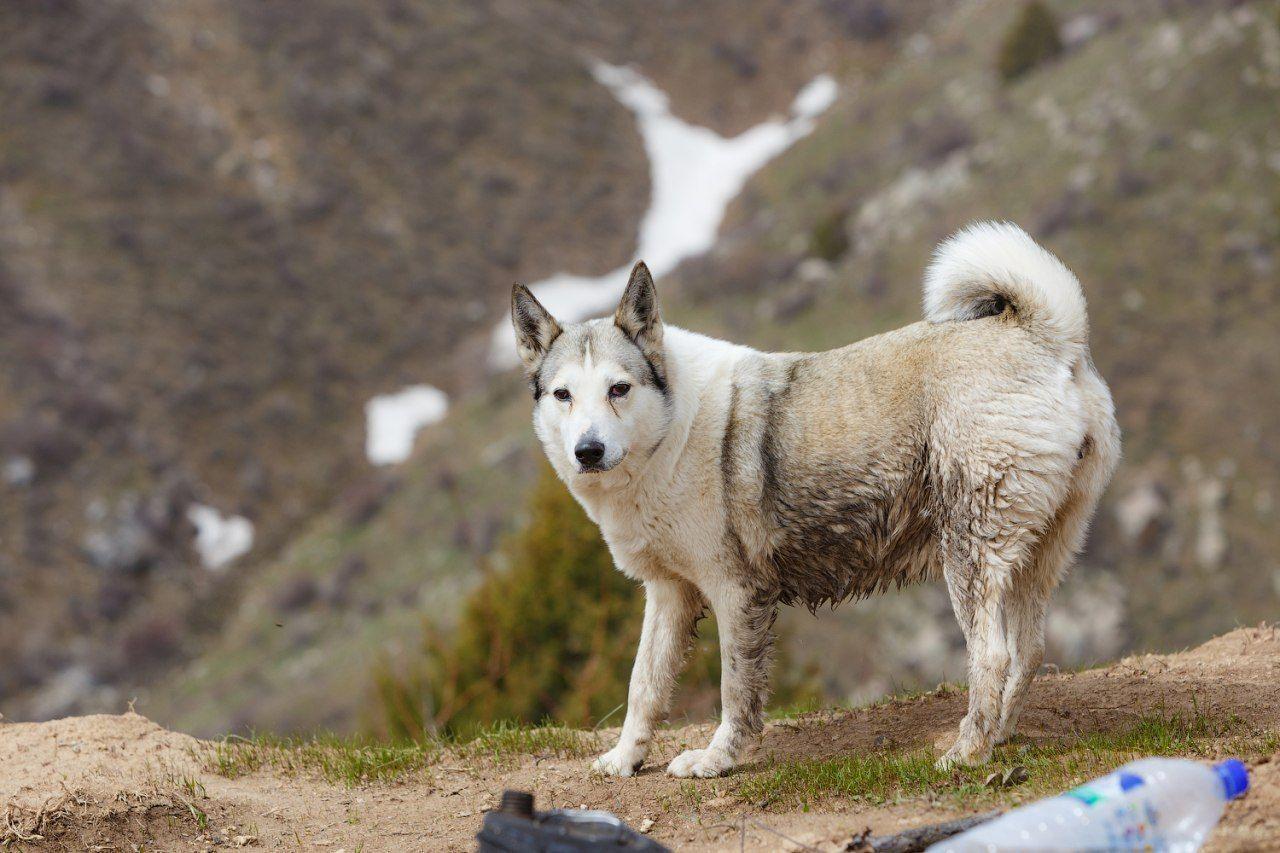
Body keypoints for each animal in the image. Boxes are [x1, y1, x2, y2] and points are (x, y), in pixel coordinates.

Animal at [509, 220, 1121, 778]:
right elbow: (645, 683)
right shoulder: (669, 594)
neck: (672, 429)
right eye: (563, 395)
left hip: (968, 554)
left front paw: (718, 760)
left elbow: (735, 691)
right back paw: (1000, 738)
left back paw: (966, 752)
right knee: (1030, 650)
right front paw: (625, 759)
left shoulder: (737, 593)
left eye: (619, 388)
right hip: (1035, 557)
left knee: (992, 655)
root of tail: (1044, 334)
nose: (588, 451)